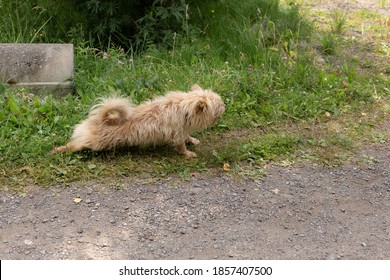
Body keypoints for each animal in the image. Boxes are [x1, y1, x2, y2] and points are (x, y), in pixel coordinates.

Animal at [50, 84, 225, 158]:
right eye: (218, 106)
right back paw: (57, 150)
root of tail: (102, 119)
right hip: (95, 144)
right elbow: (181, 146)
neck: (184, 108)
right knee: (74, 145)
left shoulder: (182, 130)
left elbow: (187, 136)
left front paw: (193, 140)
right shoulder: (177, 134)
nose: (225, 105)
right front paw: (188, 154)